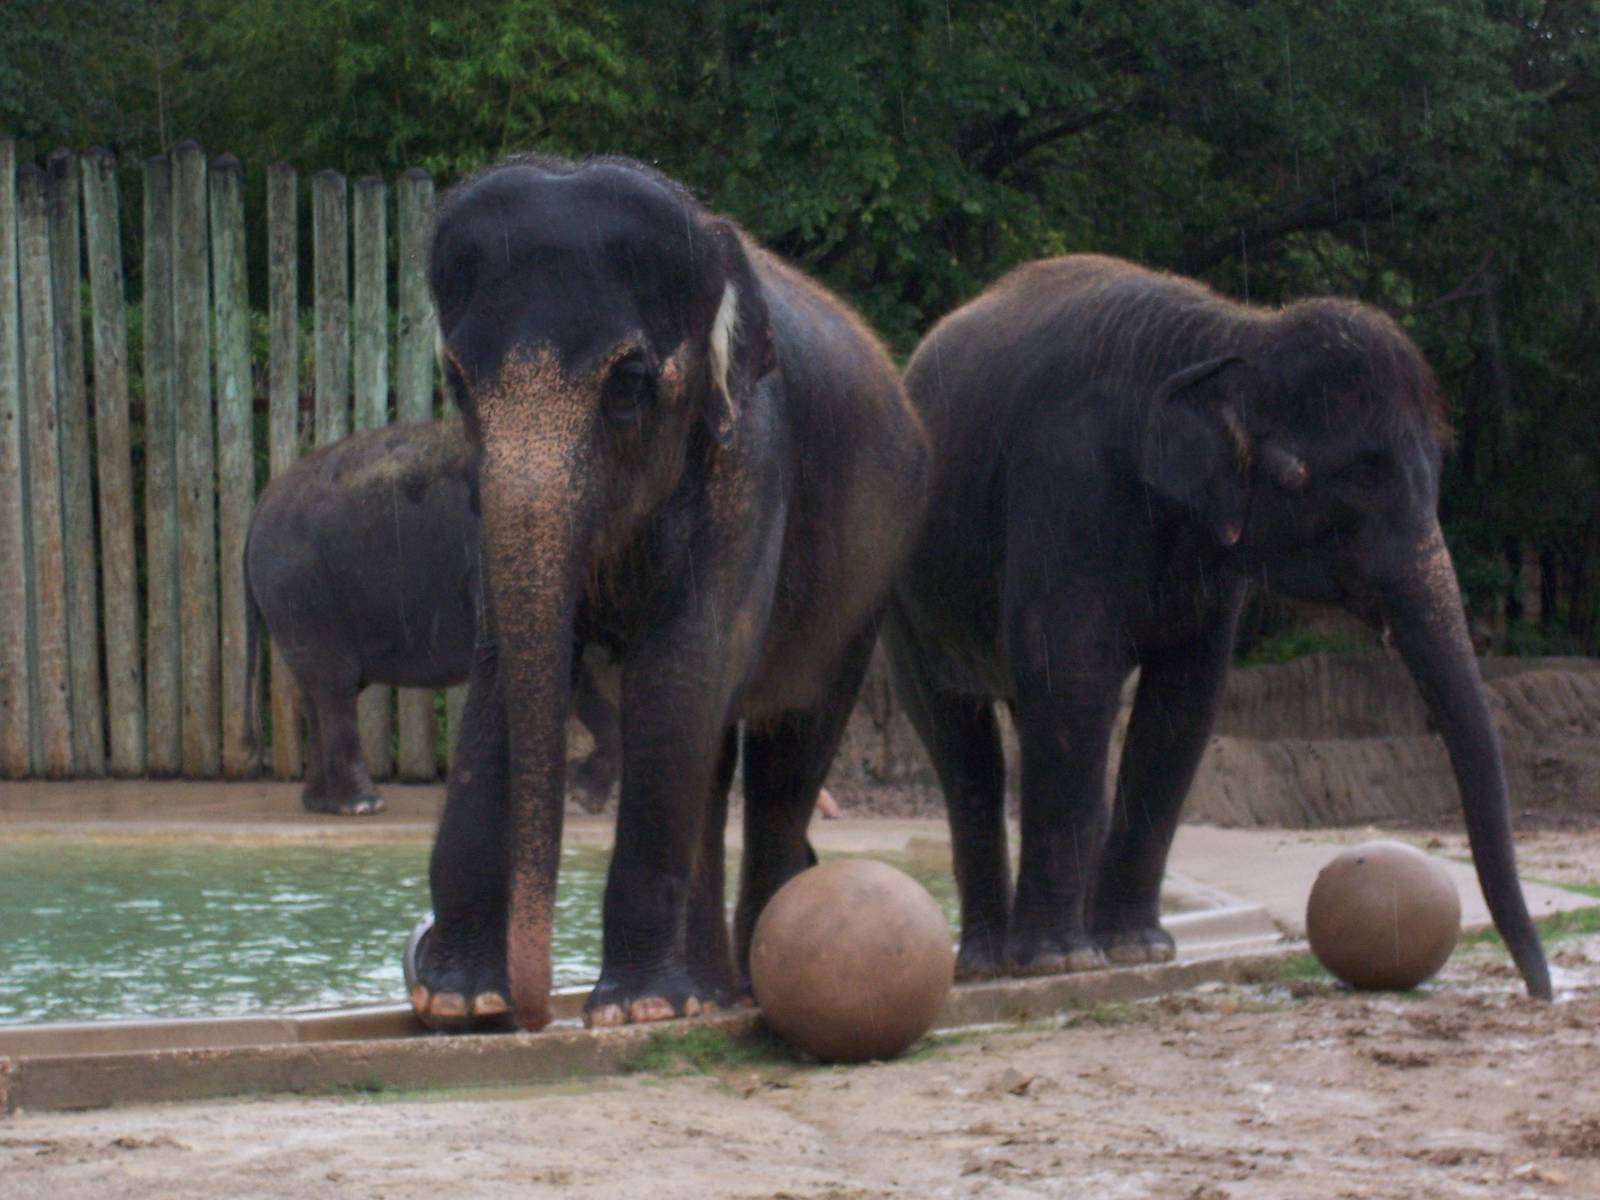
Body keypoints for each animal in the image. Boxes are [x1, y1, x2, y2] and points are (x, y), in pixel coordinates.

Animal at [243, 420, 621, 815]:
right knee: (335, 686)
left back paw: (323, 804)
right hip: (302, 590)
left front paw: (584, 794)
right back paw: (364, 804)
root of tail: (260, 506)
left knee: (318, 690)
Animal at [410, 155, 930, 1032]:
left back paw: (744, 982)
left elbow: (678, 671)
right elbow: (498, 671)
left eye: (628, 382)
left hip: (870, 585)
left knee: (787, 753)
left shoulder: (750, 459)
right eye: (457, 381)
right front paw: (457, 1002)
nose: (533, 1012)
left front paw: (635, 1011)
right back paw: (712, 990)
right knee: (712, 755)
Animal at [885, 253, 1550, 999]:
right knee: (964, 743)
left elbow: (1184, 701)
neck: (1235, 334)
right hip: (902, 595)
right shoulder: (1064, 485)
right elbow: (1074, 678)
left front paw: (1137, 952)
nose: (1540, 990)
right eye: (1316, 481)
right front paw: (1062, 963)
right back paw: (989, 964)